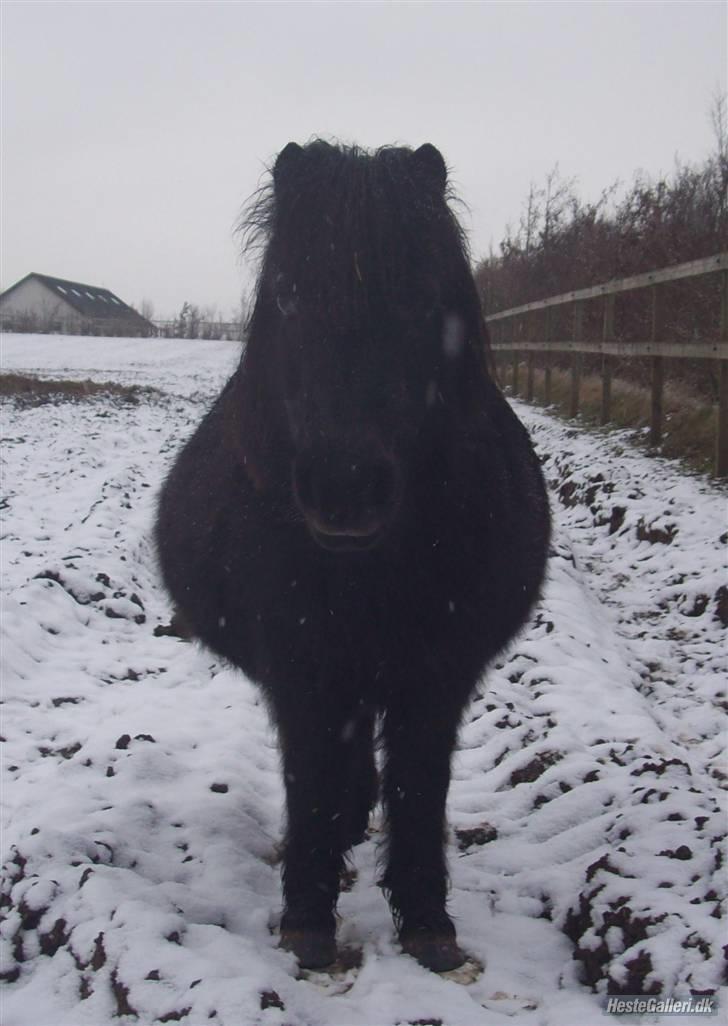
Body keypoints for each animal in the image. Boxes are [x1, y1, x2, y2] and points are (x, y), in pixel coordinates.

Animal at [156, 142, 549, 968]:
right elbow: (312, 776)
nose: (346, 486)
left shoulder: (437, 671)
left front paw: (428, 919)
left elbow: (418, 785)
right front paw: (308, 915)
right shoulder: (302, 664)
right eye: (286, 293)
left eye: (422, 297)